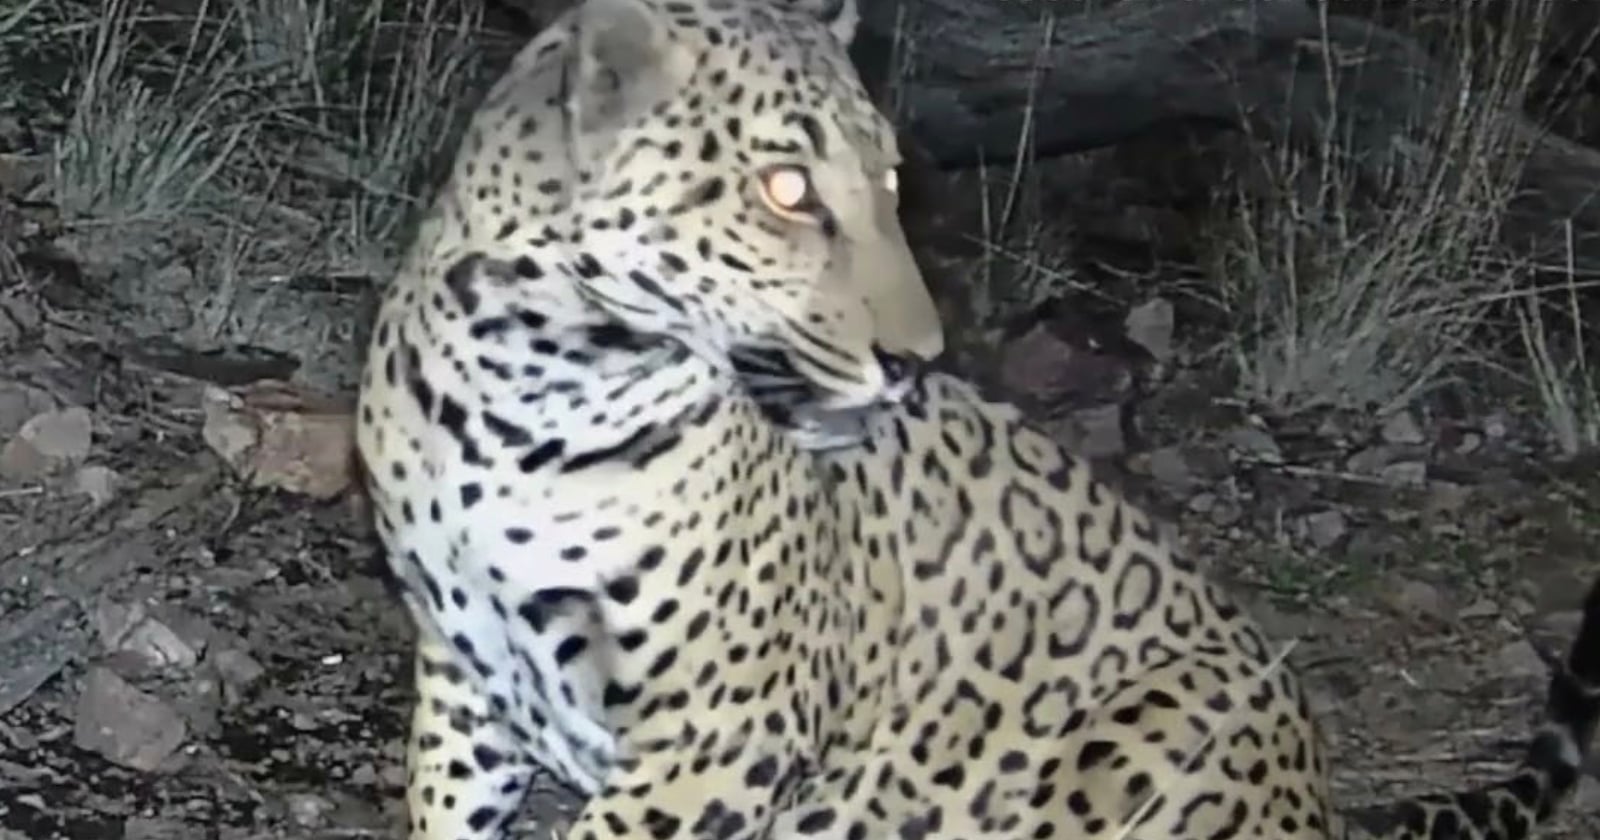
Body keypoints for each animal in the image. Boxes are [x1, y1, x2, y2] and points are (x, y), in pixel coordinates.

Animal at [352, 0, 1600, 838]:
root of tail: (1321, 800)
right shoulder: (463, 675)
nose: (915, 363)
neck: (521, 396)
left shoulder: (724, 727)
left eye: (892, 184)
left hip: (1153, 728)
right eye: (787, 191)